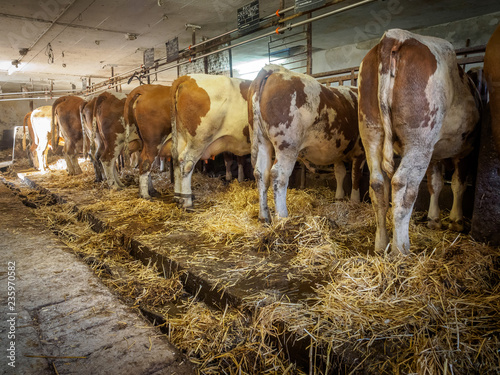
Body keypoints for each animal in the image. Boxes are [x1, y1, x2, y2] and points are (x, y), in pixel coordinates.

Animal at [171, 73, 252, 209]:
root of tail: (188, 77)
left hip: (181, 136)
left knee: (177, 161)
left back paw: (178, 196)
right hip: (199, 140)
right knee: (186, 163)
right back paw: (187, 201)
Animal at [249, 64, 364, 223]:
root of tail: (275, 69)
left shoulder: (338, 150)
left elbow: (340, 173)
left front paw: (339, 197)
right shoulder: (361, 151)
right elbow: (355, 175)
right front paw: (355, 201)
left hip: (262, 141)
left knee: (261, 173)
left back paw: (264, 216)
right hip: (287, 144)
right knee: (278, 175)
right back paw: (282, 217)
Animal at [358, 28, 478, 256]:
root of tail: (394, 35)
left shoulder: (436, 155)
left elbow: (435, 184)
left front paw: (434, 219)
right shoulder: (464, 151)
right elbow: (458, 184)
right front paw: (456, 221)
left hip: (370, 130)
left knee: (378, 184)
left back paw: (381, 245)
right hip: (420, 139)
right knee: (403, 185)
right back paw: (401, 249)